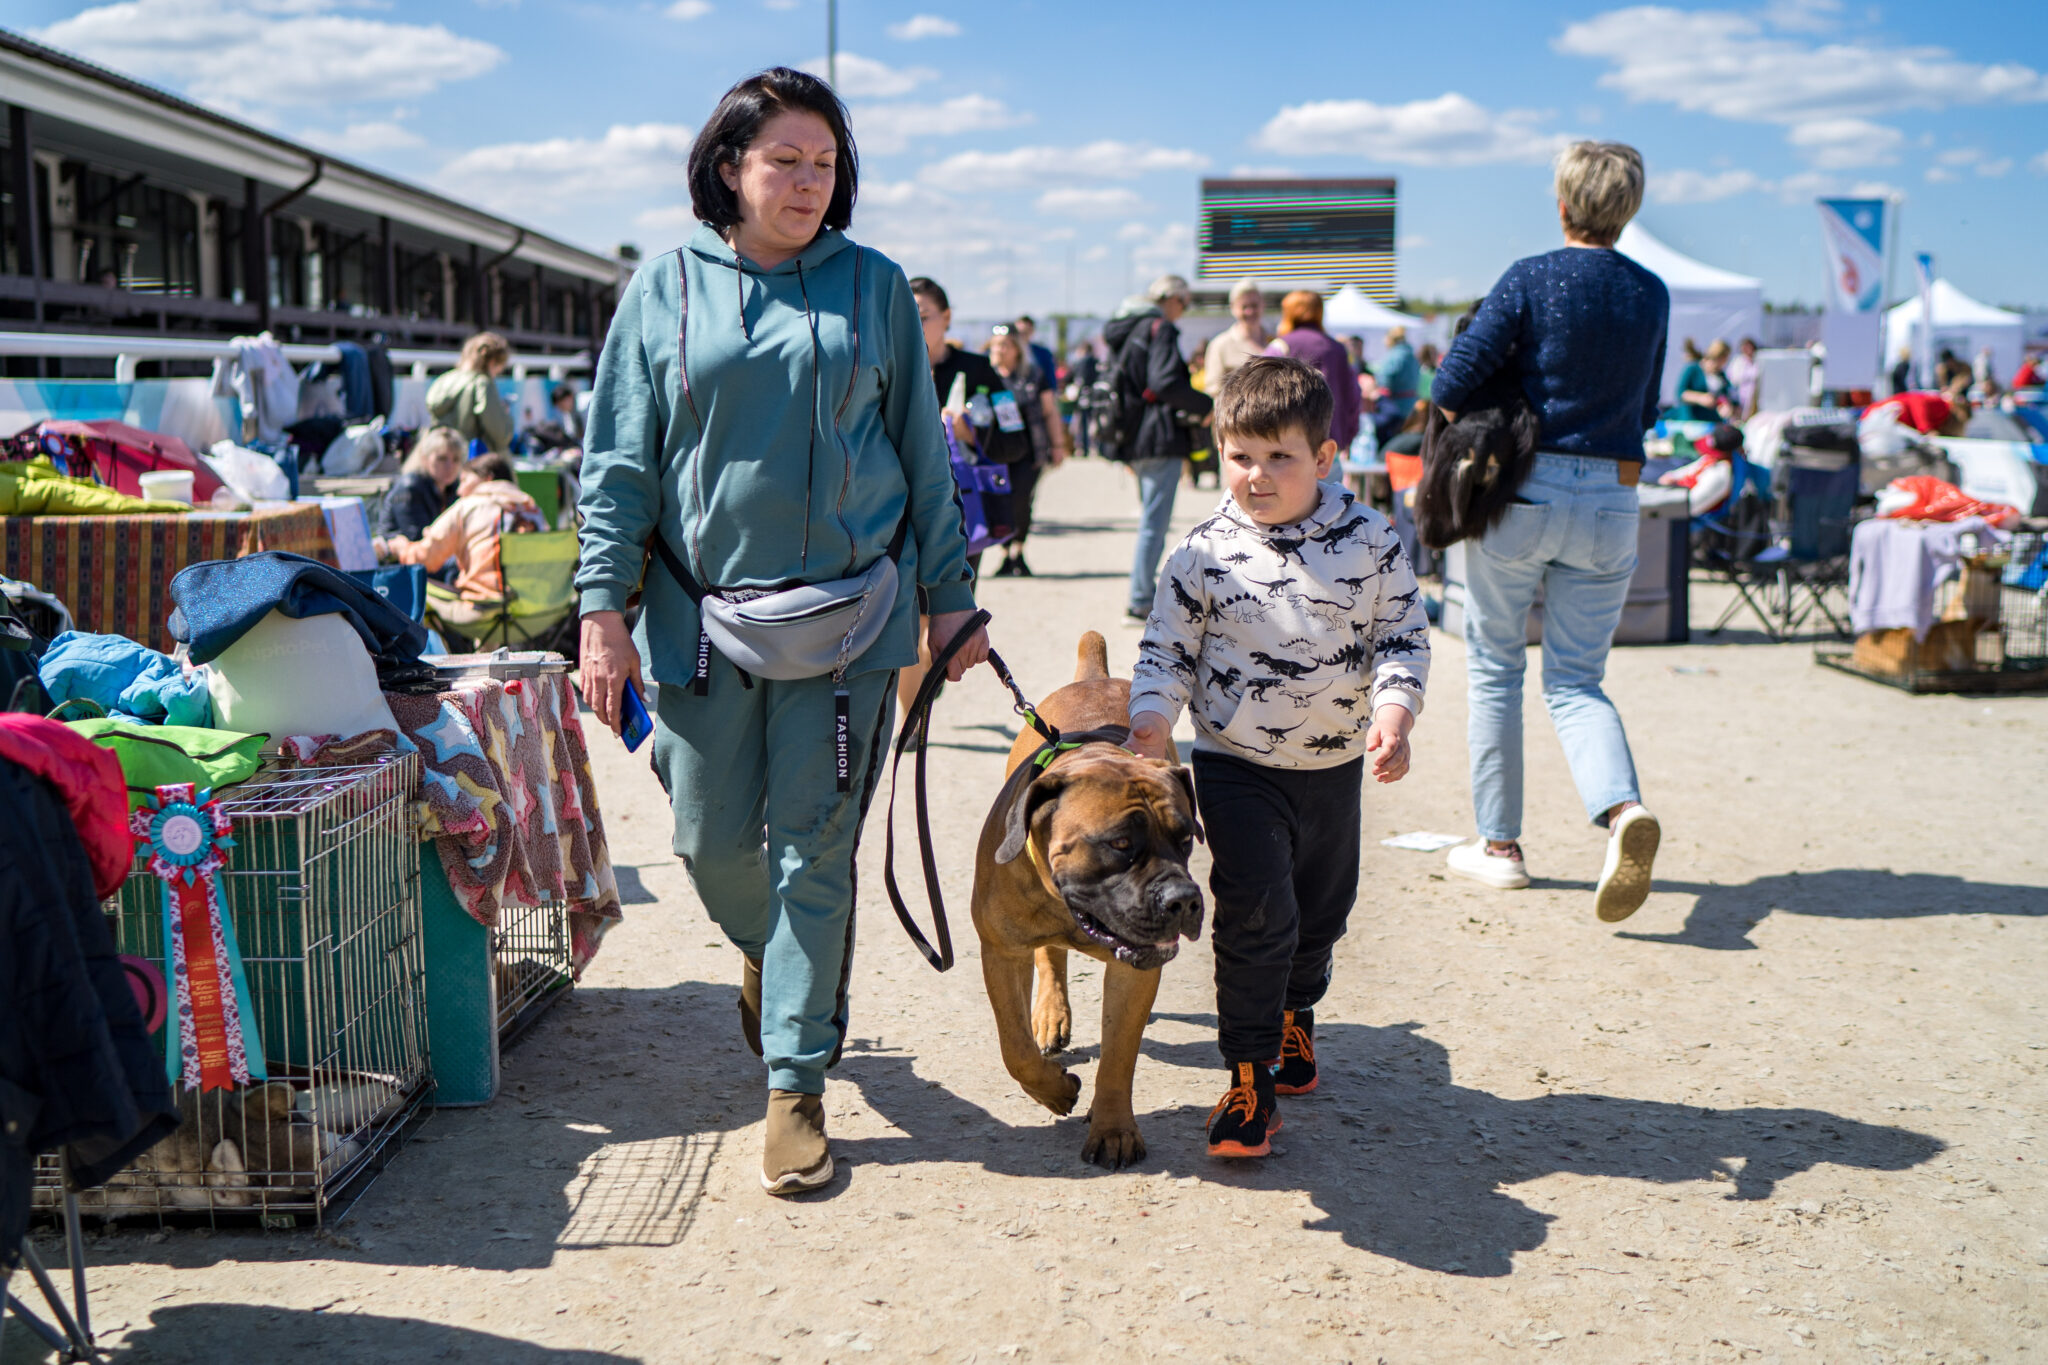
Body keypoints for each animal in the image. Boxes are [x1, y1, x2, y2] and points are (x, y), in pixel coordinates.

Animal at [970, 634, 1196, 1170]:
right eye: (1119, 844)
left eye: (1186, 840)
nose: (1183, 899)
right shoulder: (1000, 952)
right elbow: (1015, 1048)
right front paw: (1055, 1090)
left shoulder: (1135, 974)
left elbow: (1118, 1055)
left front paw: (1113, 1128)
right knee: (1048, 956)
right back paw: (1050, 1014)